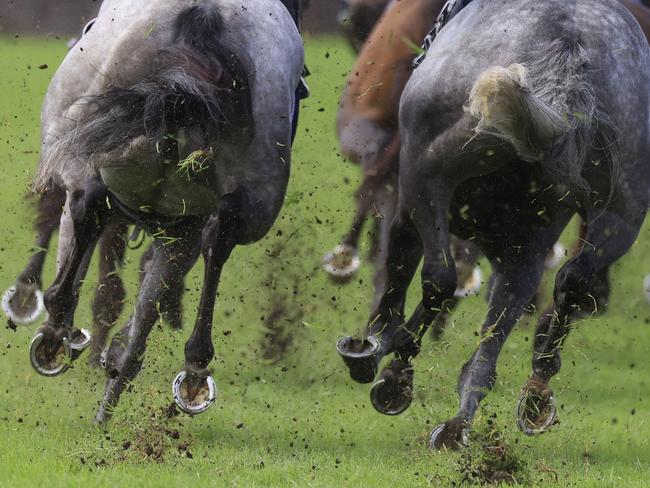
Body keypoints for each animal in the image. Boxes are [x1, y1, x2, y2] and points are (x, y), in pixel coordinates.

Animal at [27, 0, 304, 424]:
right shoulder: (179, 228)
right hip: (239, 203)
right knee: (216, 242)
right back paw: (179, 367)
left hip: (102, 167)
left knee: (94, 208)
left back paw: (64, 332)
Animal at [336, 0, 644, 450]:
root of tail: (568, 46)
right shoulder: (521, 249)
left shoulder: (411, 198)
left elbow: (404, 275)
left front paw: (378, 349)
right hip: (620, 217)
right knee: (565, 290)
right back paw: (507, 405)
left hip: (429, 171)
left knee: (439, 277)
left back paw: (398, 372)